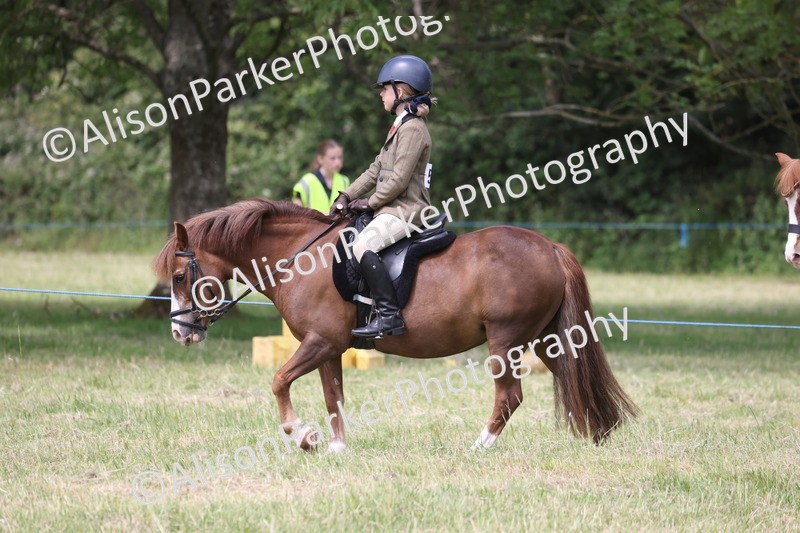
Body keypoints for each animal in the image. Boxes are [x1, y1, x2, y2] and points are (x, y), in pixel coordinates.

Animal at [153, 198, 638, 452]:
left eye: (178, 277)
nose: (180, 333)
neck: (300, 259)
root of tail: (549, 247)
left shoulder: (319, 341)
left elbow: (278, 381)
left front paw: (301, 435)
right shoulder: (328, 347)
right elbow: (333, 396)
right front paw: (336, 447)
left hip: (506, 342)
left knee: (510, 396)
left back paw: (479, 446)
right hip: (546, 340)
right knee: (573, 376)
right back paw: (598, 434)